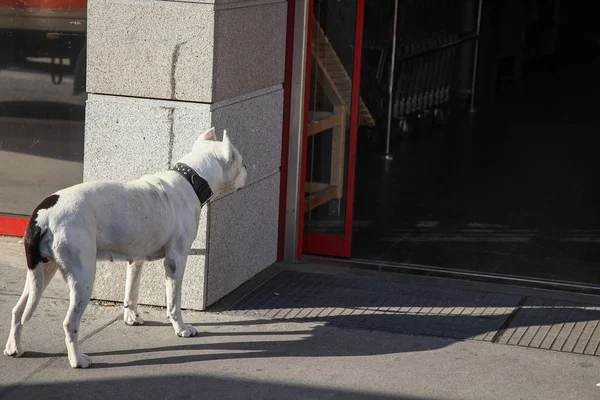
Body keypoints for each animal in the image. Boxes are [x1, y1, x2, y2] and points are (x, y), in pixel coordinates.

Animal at [2, 126, 246, 368]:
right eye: (239, 159)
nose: (247, 168)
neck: (191, 179)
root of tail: (44, 213)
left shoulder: (136, 258)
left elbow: (131, 290)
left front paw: (132, 316)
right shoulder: (175, 260)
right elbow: (173, 302)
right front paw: (181, 328)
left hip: (42, 271)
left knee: (18, 310)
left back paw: (14, 347)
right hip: (82, 278)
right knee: (69, 322)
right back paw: (77, 359)